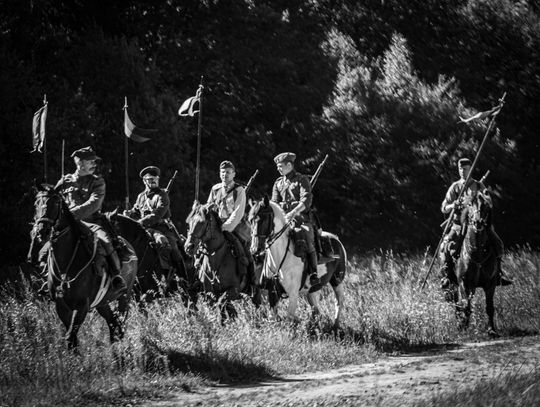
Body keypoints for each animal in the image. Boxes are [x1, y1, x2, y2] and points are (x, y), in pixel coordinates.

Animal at [29, 185, 138, 349]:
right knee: (113, 325)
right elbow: (72, 339)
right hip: (102, 302)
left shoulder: (82, 306)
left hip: (124, 297)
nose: (42, 231)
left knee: (120, 325)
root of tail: (129, 246)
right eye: (36, 203)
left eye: (55, 202)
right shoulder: (61, 305)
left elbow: (70, 336)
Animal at [248, 196, 347, 327]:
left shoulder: (293, 294)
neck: (280, 259)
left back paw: (335, 327)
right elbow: (273, 318)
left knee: (338, 301)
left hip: (337, 280)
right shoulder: (273, 293)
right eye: (250, 220)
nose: (255, 250)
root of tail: (336, 238)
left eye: (263, 220)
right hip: (311, 290)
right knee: (316, 310)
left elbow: (289, 319)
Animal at [452, 190, 499, 336]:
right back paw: (460, 324)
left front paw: (491, 330)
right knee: (457, 304)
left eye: (485, 205)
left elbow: (489, 307)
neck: (477, 251)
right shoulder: (463, 282)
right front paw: (464, 328)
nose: (478, 222)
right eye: (469, 204)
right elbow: (465, 306)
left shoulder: (490, 283)